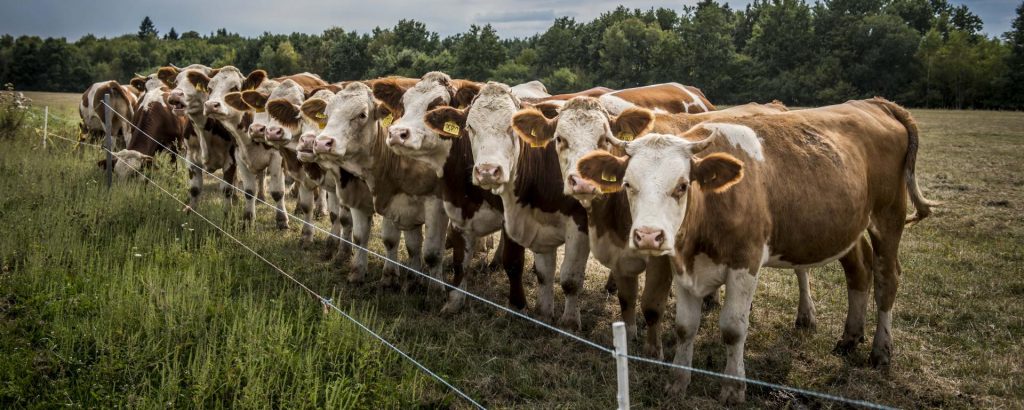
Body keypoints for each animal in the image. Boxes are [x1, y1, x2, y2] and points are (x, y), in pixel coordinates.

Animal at [157, 64, 237, 214]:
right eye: (176, 82)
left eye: (198, 80)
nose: (174, 95)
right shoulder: (191, 157)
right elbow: (194, 189)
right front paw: (190, 212)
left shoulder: (231, 159)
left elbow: (226, 189)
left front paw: (227, 214)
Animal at [303, 82, 448, 289]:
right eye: (327, 113)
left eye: (362, 114)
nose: (322, 143)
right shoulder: (364, 201)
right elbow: (362, 237)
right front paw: (358, 273)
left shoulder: (432, 204)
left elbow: (426, 250)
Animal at [577, 98, 937, 403]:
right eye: (628, 184)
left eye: (682, 185)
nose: (649, 236)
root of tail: (876, 103)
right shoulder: (682, 265)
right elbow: (684, 327)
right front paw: (678, 382)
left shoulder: (744, 262)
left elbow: (733, 329)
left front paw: (733, 388)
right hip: (847, 225)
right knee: (859, 271)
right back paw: (850, 337)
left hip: (888, 217)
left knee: (887, 278)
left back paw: (881, 350)